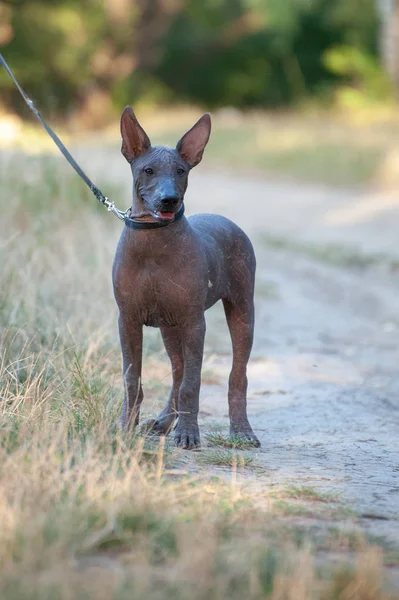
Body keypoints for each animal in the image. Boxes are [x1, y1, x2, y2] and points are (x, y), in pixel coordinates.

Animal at [113, 106, 262, 450]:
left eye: (181, 171)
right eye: (149, 170)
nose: (169, 199)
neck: (153, 244)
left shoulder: (195, 323)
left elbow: (192, 384)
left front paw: (189, 433)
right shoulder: (127, 321)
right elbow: (132, 378)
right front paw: (126, 426)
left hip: (241, 312)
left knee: (236, 375)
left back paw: (241, 429)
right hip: (170, 327)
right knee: (177, 370)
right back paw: (165, 421)